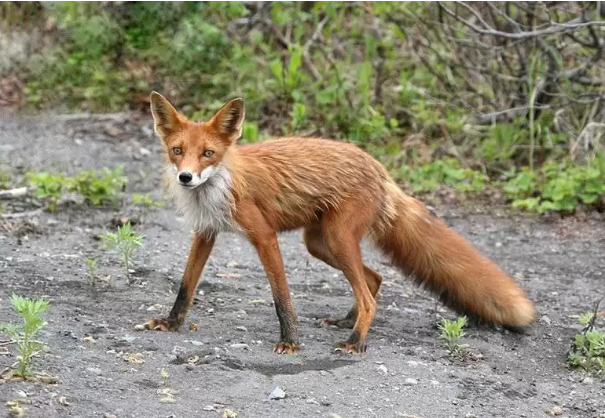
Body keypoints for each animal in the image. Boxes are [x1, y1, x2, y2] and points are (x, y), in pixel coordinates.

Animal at [140, 91, 532, 352]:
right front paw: (171, 323)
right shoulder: (205, 232)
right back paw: (348, 321)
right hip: (320, 243)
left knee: (369, 294)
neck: (219, 185)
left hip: (338, 238)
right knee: (374, 279)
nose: (186, 177)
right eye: (177, 151)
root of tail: (379, 169)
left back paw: (355, 341)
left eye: (208, 153)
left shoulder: (264, 235)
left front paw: (290, 341)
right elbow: (186, 286)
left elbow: (281, 296)